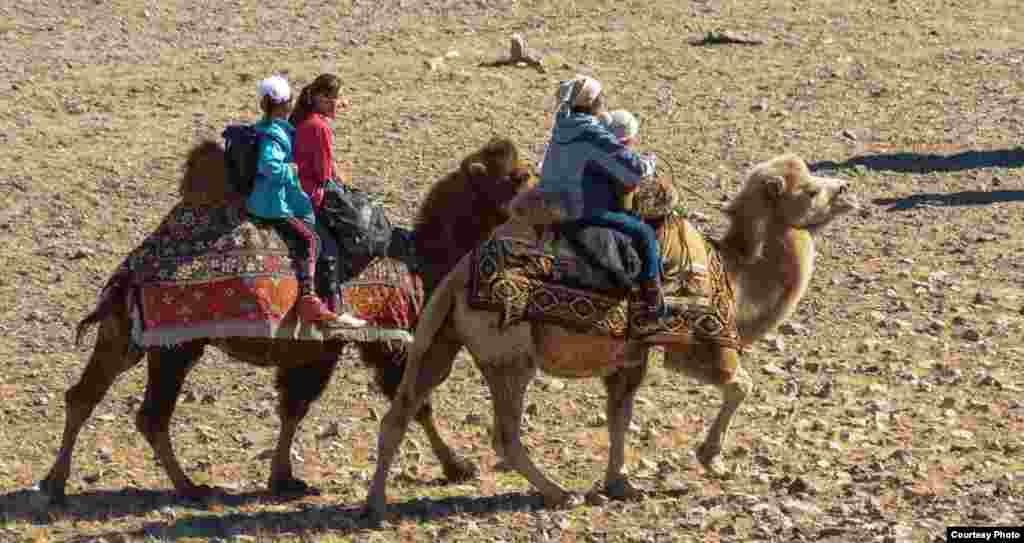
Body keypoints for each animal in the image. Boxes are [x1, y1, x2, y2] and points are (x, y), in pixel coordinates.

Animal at [37, 135, 536, 502]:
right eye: (517, 176)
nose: (540, 197)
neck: (421, 262)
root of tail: (131, 270)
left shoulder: (317, 348)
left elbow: (294, 407)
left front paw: (284, 477)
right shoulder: (381, 339)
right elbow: (412, 402)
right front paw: (458, 466)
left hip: (128, 333)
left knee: (85, 395)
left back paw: (55, 482)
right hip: (174, 345)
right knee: (150, 416)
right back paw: (189, 487)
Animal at [364, 153, 860, 516]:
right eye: (810, 190)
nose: (847, 191)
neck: (735, 276)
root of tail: (457, 277)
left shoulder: (631, 355)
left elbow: (620, 414)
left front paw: (621, 483)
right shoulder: (698, 343)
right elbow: (741, 385)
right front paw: (711, 458)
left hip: (437, 339)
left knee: (402, 409)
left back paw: (376, 503)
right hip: (510, 355)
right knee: (503, 433)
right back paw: (558, 493)